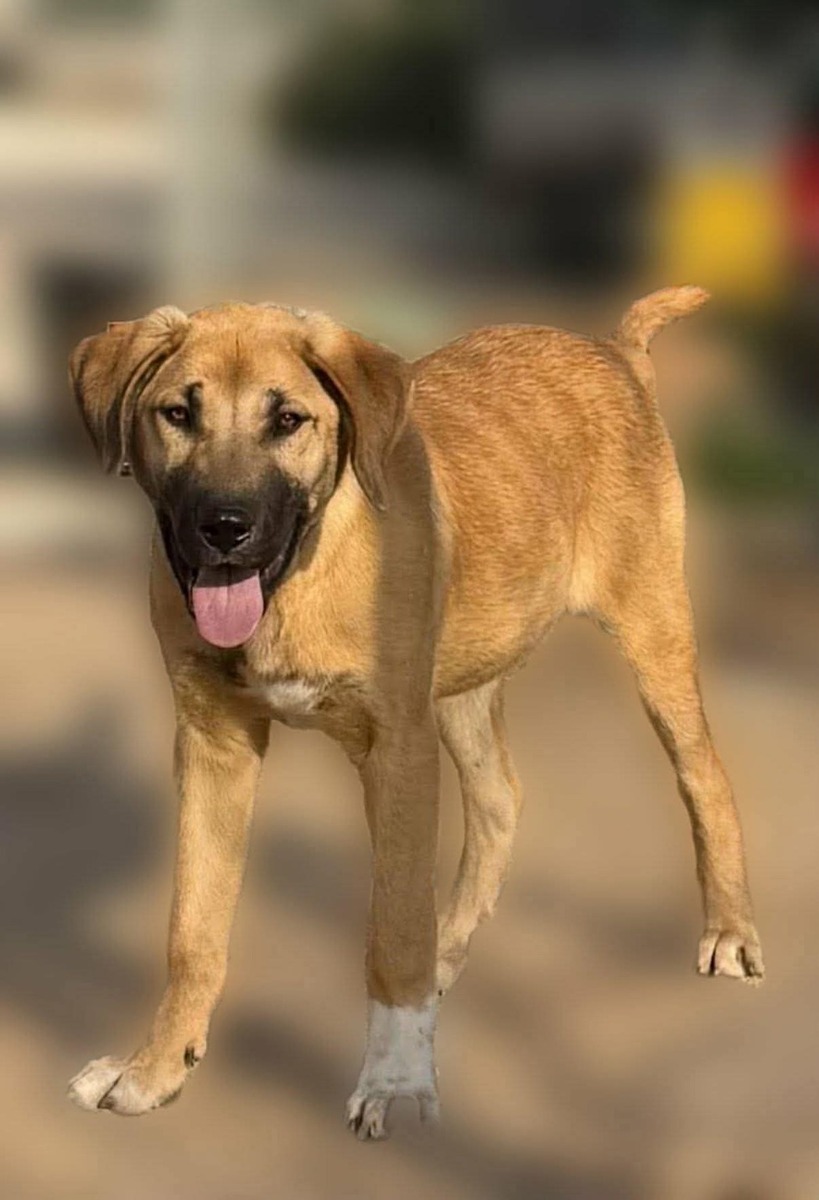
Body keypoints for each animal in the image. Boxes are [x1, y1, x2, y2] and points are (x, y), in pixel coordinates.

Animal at [66, 288, 763, 1139]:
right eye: (176, 413)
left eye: (288, 419)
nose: (223, 528)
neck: (303, 576)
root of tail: (611, 352)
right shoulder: (212, 742)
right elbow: (192, 929)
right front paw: (155, 1068)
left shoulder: (395, 750)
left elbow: (392, 932)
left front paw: (396, 1083)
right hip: (465, 672)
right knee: (500, 798)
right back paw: (450, 949)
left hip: (650, 624)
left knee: (705, 774)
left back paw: (728, 931)